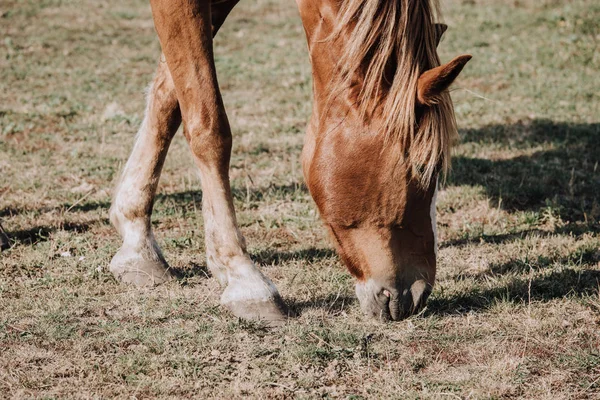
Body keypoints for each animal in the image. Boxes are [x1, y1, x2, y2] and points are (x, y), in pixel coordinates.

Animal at [110, 0, 472, 324]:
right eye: (425, 168)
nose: (418, 293)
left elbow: (167, 97)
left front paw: (136, 238)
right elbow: (209, 125)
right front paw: (244, 278)